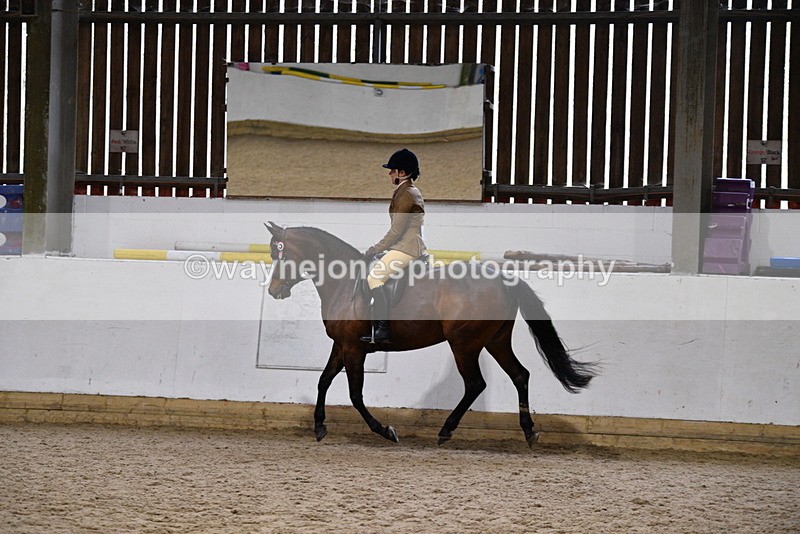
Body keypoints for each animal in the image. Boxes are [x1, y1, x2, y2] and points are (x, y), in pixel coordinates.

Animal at [264, 222, 597, 447]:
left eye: (280, 255)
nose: (273, 291)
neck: (346, 283)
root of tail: (504, 278)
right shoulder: (341, 345)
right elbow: (323, 380)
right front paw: (319, 427)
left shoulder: (354, 349)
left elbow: (355, 395)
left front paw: (386, 431)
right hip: (495, 341)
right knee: (520, 375)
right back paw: (528, 431)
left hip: (464, 344)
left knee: (475, 384)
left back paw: (446, 430)